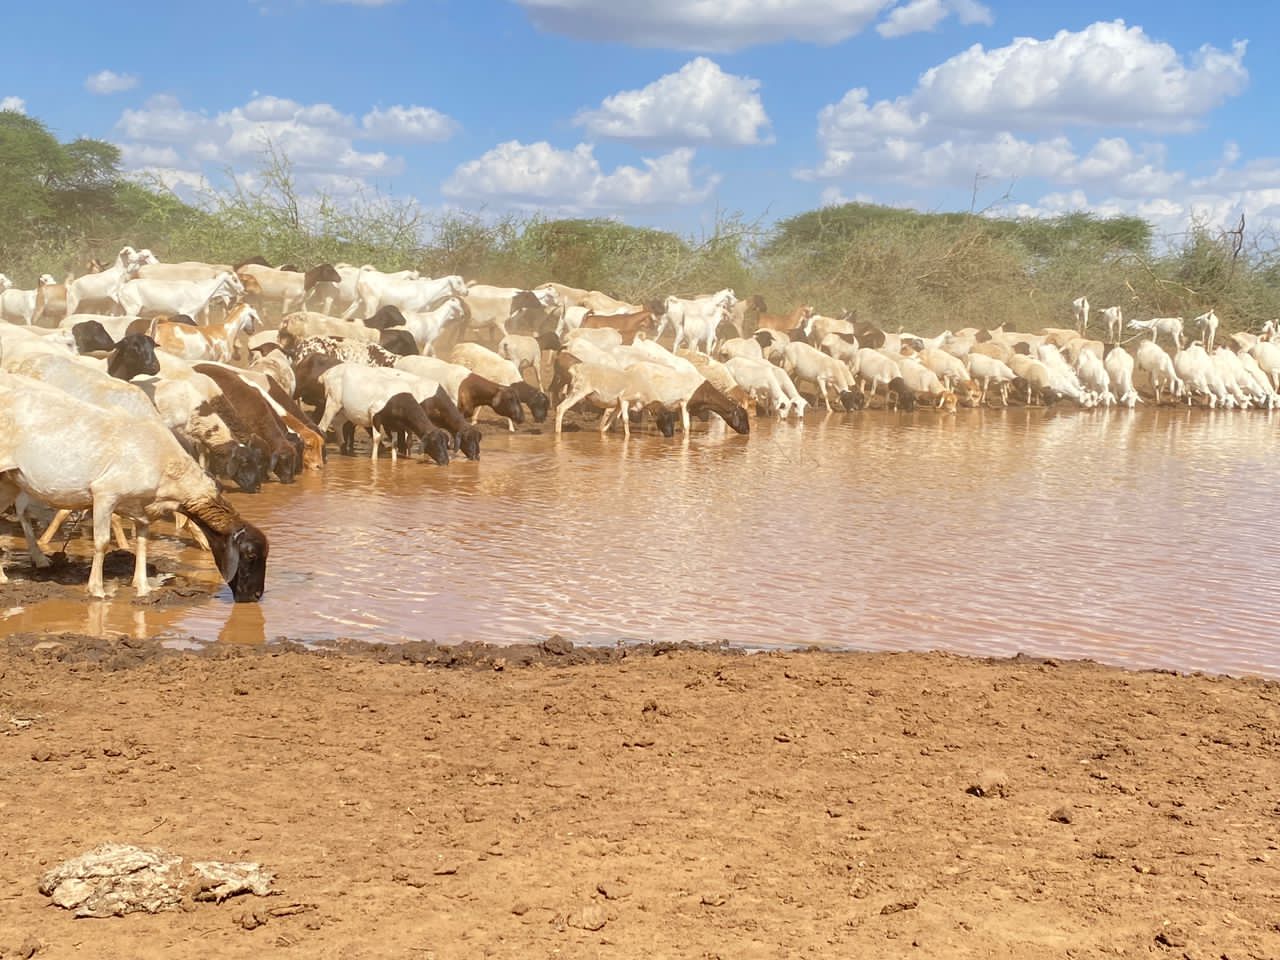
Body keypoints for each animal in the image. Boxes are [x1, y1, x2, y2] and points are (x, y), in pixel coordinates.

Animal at [0, 372, 268, 600]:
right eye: (250, 554)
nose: (256, 596)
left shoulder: (143, 510)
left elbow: (142, 542)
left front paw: (142, 586)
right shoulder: (105, 493)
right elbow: (102, 542)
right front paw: (97, 590)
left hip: (10, 479)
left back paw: (20, 569)